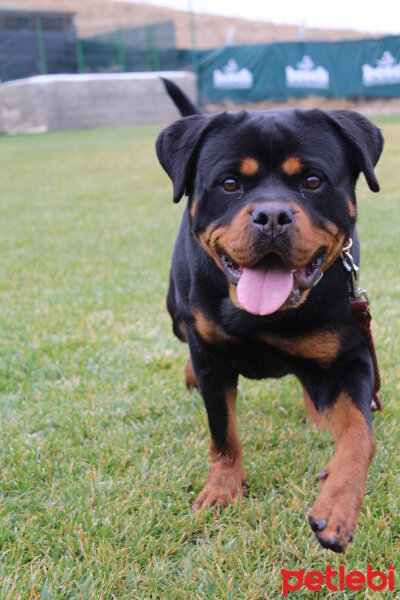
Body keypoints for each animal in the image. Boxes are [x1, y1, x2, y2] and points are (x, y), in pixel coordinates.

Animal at [155, 78, 382, 552]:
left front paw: (337, 507)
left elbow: (360, 435)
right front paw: (222, 489)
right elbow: (223, 432)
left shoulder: (352, 356)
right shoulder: (211, 359)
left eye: (312, 181)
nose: (272, 214)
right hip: (175, 313)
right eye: (229, 183)